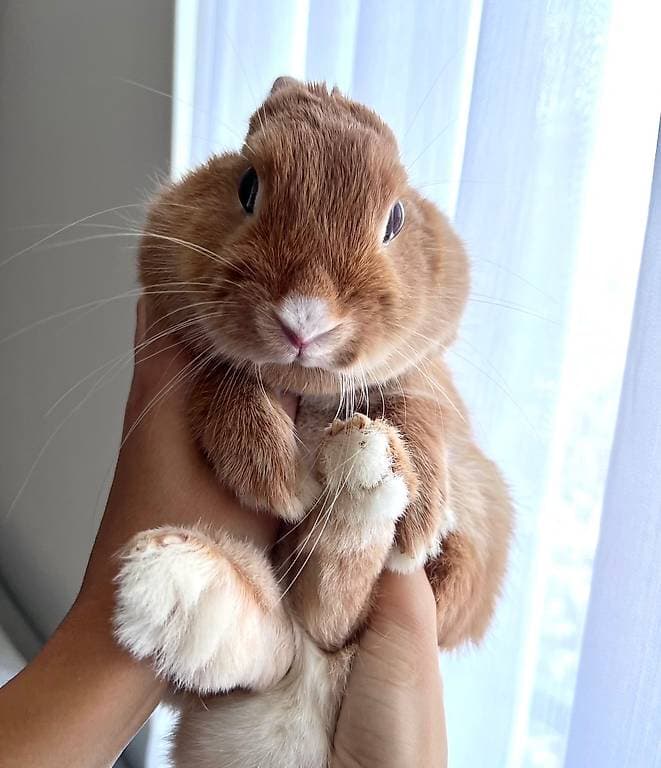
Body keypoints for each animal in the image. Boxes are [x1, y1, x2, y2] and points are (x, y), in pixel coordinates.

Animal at [113, 77, 513, 767]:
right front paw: (273, 474)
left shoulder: (429, 383)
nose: (304, 319)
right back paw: (174, 588)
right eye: (247, 184)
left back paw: (366, 474)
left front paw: (421, 509)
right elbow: (226, 377)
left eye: (396, 218)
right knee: (283, 630)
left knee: (334, 608)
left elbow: (418, 405)